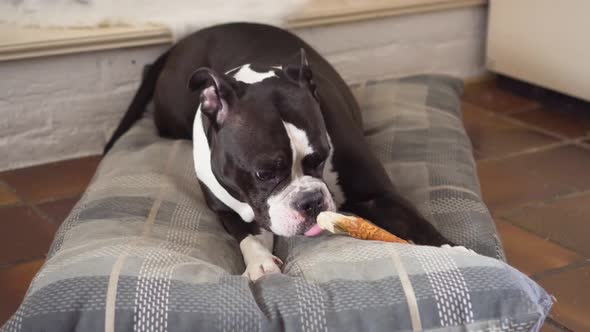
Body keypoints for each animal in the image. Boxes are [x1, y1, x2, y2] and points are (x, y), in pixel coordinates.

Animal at [106, 22, 456, 278]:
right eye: (265, 173)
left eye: (322, 156)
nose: (311, 201)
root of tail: (182, 42)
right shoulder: (225, 211)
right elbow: (246, 234)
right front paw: (260, 263)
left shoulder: (377, 195)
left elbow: (417, 224)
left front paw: (454, 252)